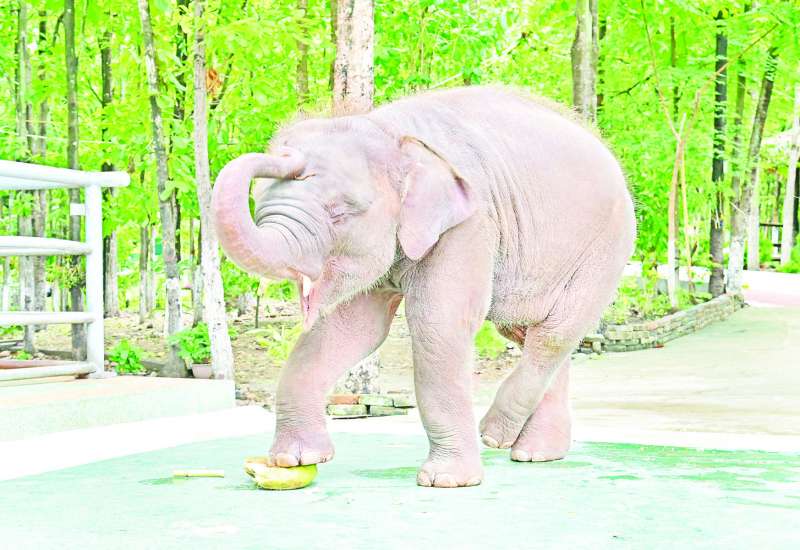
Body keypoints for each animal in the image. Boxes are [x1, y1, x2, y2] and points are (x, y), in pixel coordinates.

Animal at [212, 86, 636, 488]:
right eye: (258, 201)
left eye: (340, 212)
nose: (286, 154)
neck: (388, 130)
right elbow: (353, 329)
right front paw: (293, 461)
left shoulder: (471, 223)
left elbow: (438, 323)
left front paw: (447, 481)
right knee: (525, 332)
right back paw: (537, 454)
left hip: (605, 249)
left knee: (553, 335)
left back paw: (496, 436)